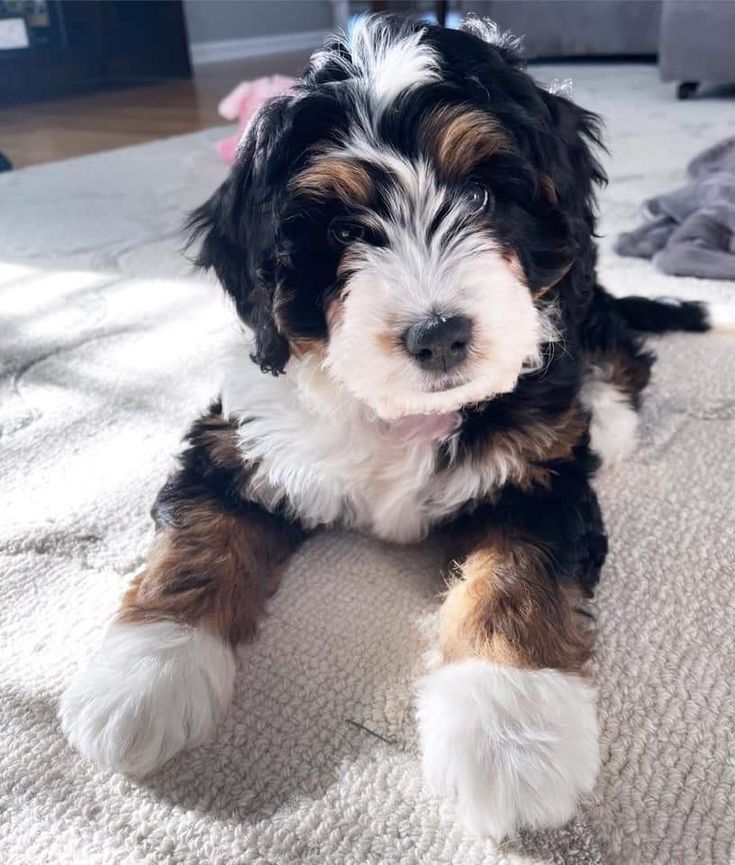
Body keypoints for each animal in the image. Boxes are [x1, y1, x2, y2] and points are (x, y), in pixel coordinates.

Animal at [59, 16, 732, 840]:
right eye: (344, 228)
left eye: (481, 192)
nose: (438, 336)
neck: (402, 413)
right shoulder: (241, 435)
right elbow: (199, 538)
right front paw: (144, 676)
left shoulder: (539, 477)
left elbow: (517, 577)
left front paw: (509, 732)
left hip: (578, 301)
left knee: (617, 339)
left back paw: (603, 413)